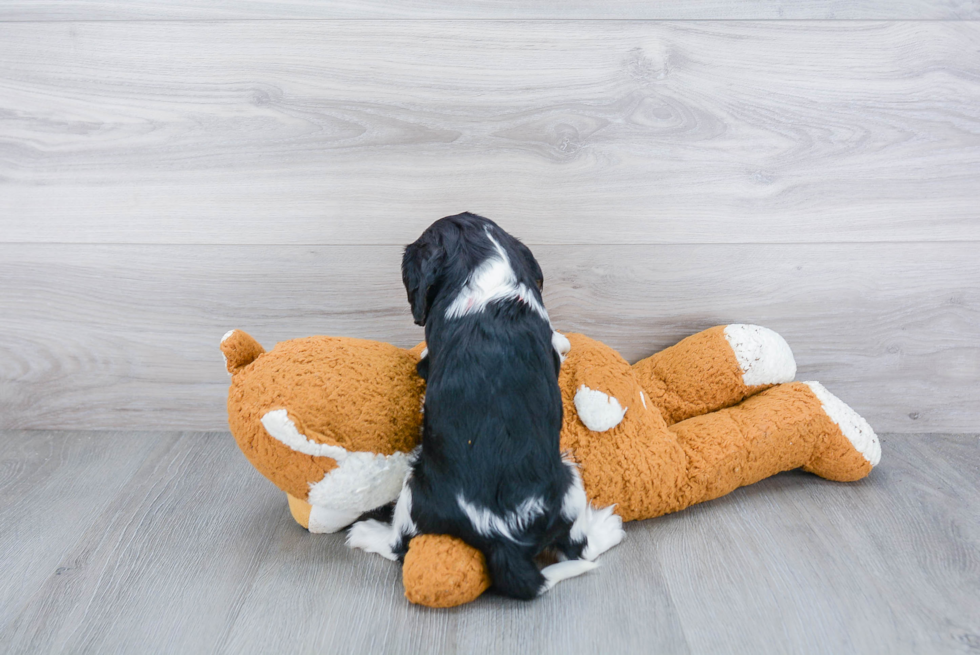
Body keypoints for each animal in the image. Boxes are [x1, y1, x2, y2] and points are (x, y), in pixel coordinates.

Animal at [346, 214, 620, 600]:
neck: (484, 266)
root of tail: (500, 536)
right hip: (567, 483)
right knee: (577, 548)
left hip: (416, 488)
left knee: (401, 544)